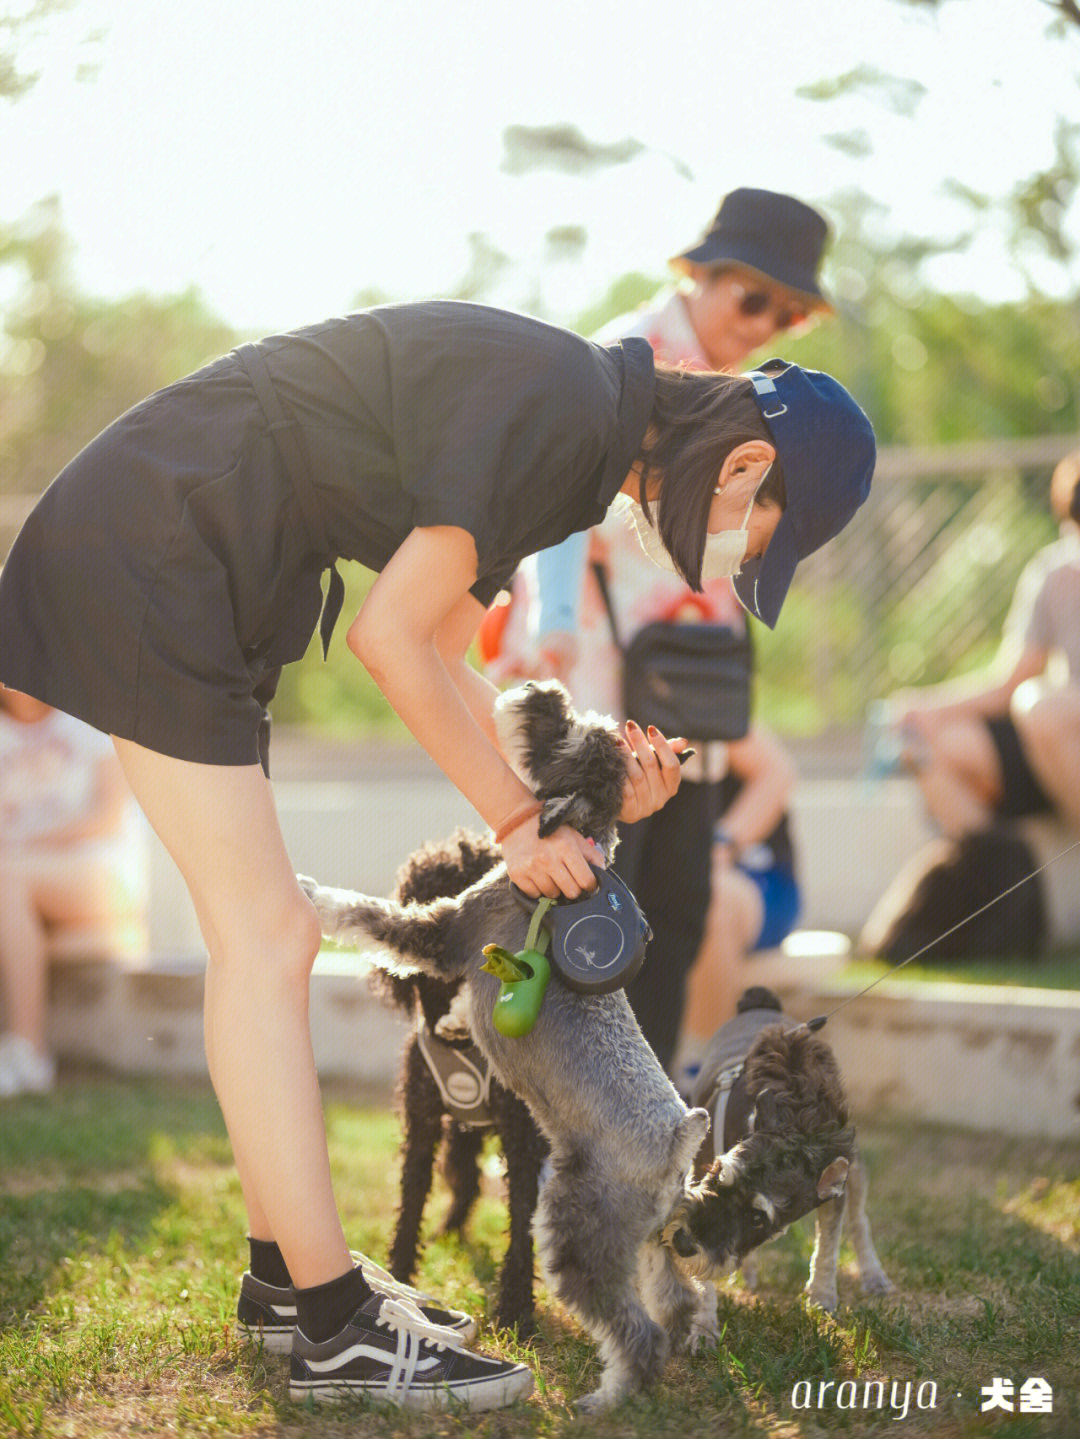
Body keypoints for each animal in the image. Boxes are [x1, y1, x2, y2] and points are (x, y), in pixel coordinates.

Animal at [300, 682, 713, 1404]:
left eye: (564, 736)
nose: (536, 690)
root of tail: (677, 1141)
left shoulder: (444, 934)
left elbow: (371, 916)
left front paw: (313, 892)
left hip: (572, 1230)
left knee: (635, 1330)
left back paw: (608, 1397)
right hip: (651, 1240)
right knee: (677, 1299)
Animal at [673, 984, 891, 1329]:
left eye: (757, 1218)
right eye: (716, 1176)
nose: (682, 1243)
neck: (798, 1121)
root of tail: (760, 1002)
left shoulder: (835, 1189)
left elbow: (829, 1244)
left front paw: (822, 1297)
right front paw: (704, 1325)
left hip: (856, 1169)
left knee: (859, 1221)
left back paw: (873, 1275)